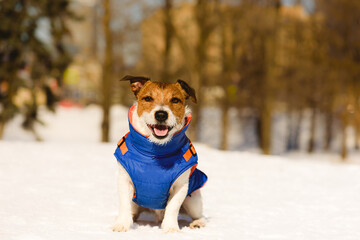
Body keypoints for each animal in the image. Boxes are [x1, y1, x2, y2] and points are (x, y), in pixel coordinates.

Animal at [112, 75, 208, 232]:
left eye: (175, 100)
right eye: (148, 98)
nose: (161, 114)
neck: (155, 154)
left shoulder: (181, 186)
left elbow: (173, 207)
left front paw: (170, 228)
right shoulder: (124, 180)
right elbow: (124, 205)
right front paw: (121, 224)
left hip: (193, 200)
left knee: (200, 215)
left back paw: (198, 223)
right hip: (136, 203)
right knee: (132, 211)